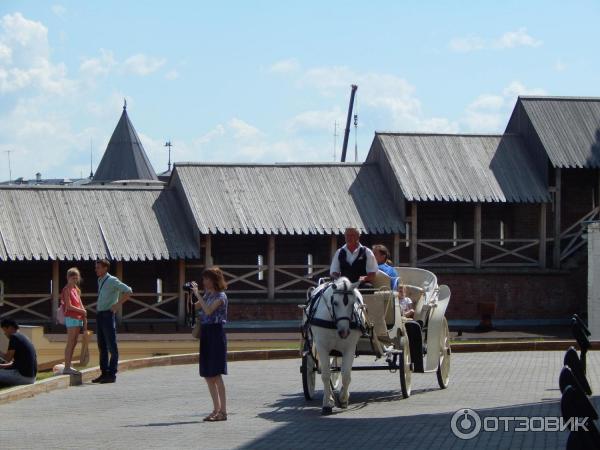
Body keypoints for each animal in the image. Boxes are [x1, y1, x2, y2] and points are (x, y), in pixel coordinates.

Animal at [308, 278, 364, 414]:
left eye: (353, 303)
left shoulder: (349, 348)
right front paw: (327, 403)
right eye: (335, 302)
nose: (344, 332)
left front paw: (343, 399)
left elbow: (346, 375)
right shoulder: (322, 347)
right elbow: (325, 374)